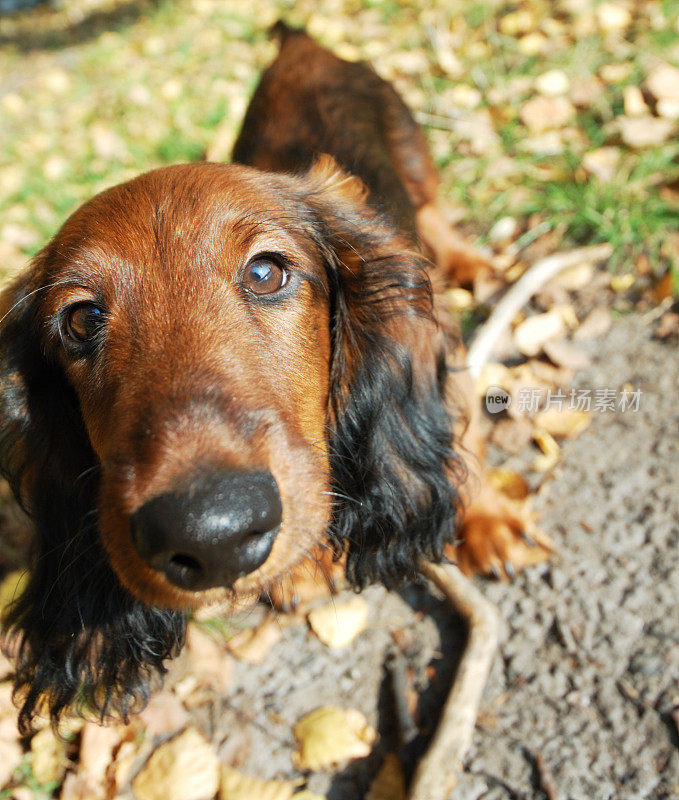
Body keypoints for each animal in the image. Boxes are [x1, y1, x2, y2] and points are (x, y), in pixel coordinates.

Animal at [0, 20, 540, 732]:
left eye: (265, 272)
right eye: (82, 320)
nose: (214, 535)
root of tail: (302, 43)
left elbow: (465, 433)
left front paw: (488, 522)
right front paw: (297, 572)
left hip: (414, 150)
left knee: (435, 211)